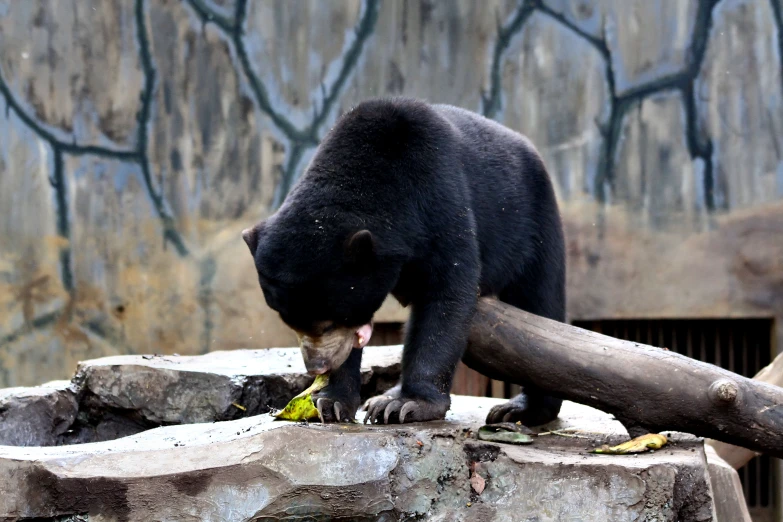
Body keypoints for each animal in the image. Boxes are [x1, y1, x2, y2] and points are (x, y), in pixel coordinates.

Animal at [242, 96, 568, 422]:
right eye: (289, 322)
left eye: (330, 323)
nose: (317, 366)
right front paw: (330, 402)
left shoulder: (439, 196)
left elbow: (447, 292)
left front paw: (408, 404)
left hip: (533, 220)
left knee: (539, 300)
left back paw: (522, 409)